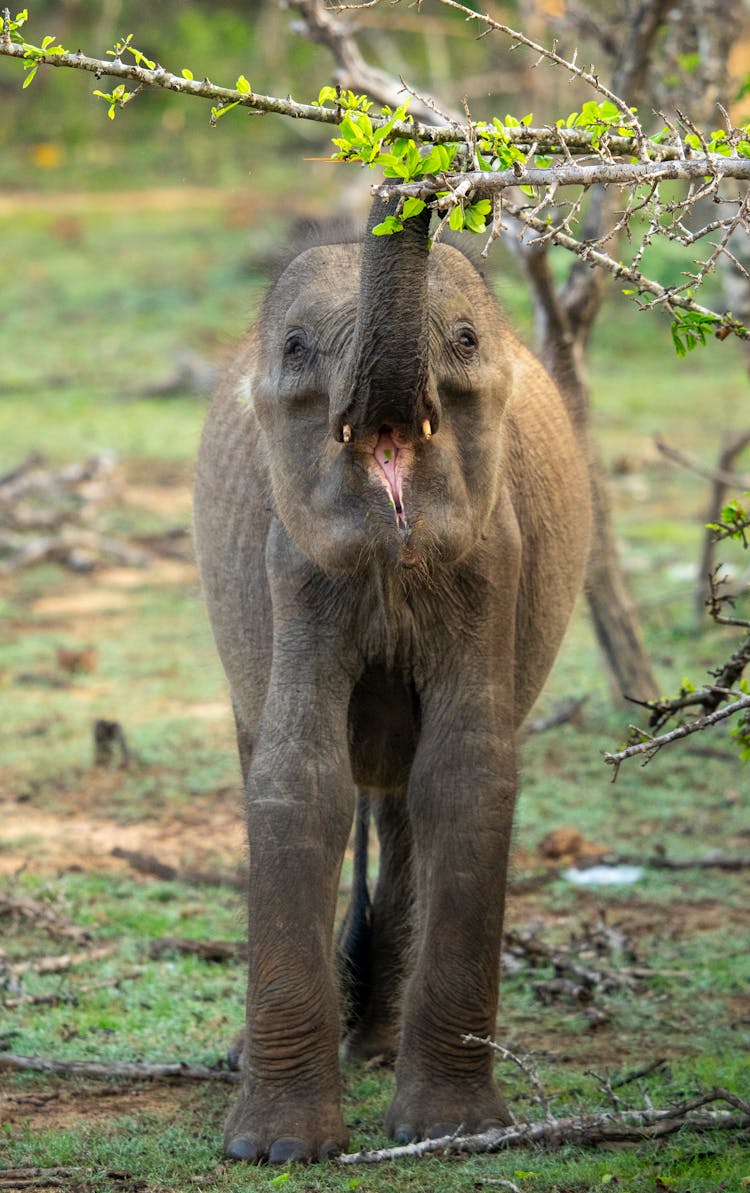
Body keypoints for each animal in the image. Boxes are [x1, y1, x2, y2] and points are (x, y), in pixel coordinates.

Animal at [193, 195, 591, 1164]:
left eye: (465, 340)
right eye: (297, 348)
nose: (415, 184)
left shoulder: (495, 555)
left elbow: (466, 776)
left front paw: (452, 1132)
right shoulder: (287, 559)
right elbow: (299, 781)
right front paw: (279, 1151)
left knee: (406, 797)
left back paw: (376, 1048)